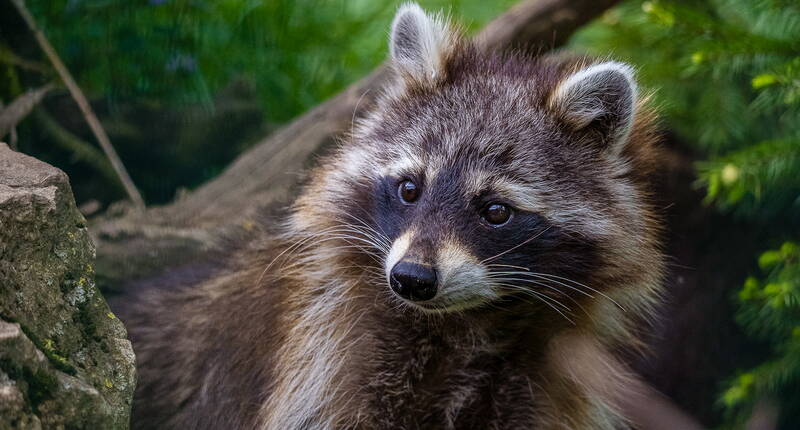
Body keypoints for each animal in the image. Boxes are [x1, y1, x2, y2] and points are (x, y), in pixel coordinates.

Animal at [119, 4, 664, 430]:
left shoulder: (544, 379)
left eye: (495, 211)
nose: (412, 279)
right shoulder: (327, 353)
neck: (466, 323)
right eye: (409, 188)